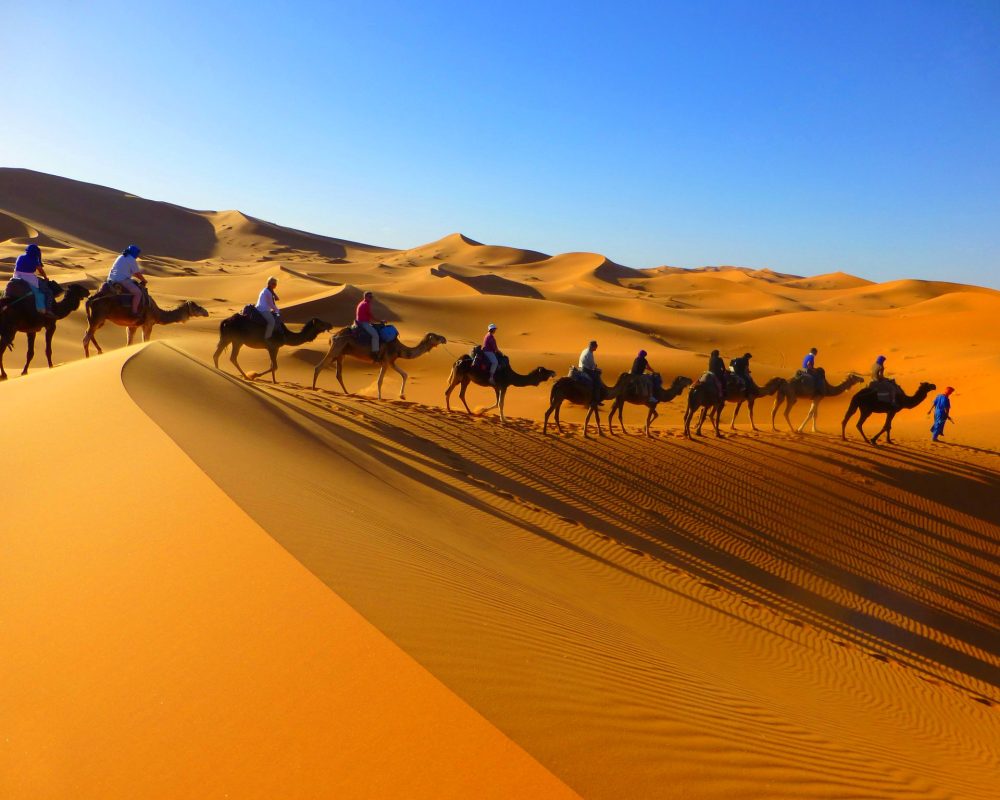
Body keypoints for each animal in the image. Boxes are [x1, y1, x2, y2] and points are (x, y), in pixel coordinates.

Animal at [312, 326, 446, 398]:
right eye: (435, 337)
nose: (444, 339)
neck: (399, 348)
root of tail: (332, 337)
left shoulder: (391, 361)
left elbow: (404, 374)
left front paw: (402, 396)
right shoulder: (386, 361)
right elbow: (379, 381)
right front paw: (380, 398)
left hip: (341, 354)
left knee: (338, 374)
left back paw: (347, 393)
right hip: (336, 349)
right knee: (318, 367)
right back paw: (313, 389)